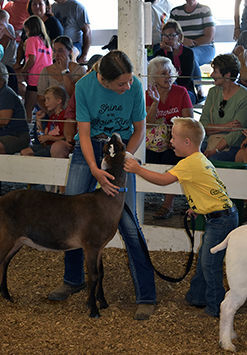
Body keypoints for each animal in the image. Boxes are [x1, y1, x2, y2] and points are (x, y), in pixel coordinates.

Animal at [0, 134, 127, 318]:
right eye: (113, 146)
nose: (114, 135)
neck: (106, 200)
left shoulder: (100, 246)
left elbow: (101, 273)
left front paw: (102, 302)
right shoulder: (91, 245)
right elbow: (93, 276)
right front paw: (93, 309)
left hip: (17, 240)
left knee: (4, 263)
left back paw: (7, 296)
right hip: (6, 236)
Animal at [210, 225, 247, 354]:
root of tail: (232, 234)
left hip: (236, 283)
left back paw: (230, 335)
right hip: (241, 283)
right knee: (228, 307)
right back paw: (227, 343)